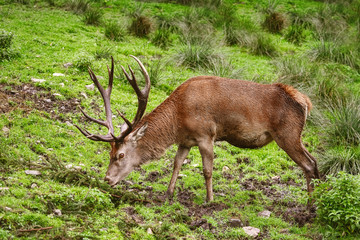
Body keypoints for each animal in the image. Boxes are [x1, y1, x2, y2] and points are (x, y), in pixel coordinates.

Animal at [74, 56, 320, 202]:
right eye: (110, 153)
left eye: (121, 155)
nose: (107, 179)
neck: (178, 117)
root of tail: (306, 102)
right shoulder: (185, 140)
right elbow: (176, 163)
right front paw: (168, 193)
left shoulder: (206, 135)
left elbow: (207, 170)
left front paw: (209, 199)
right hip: (296, 136)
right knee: (315, 161)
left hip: (287, 133)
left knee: (308, 164)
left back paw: (310, 204)